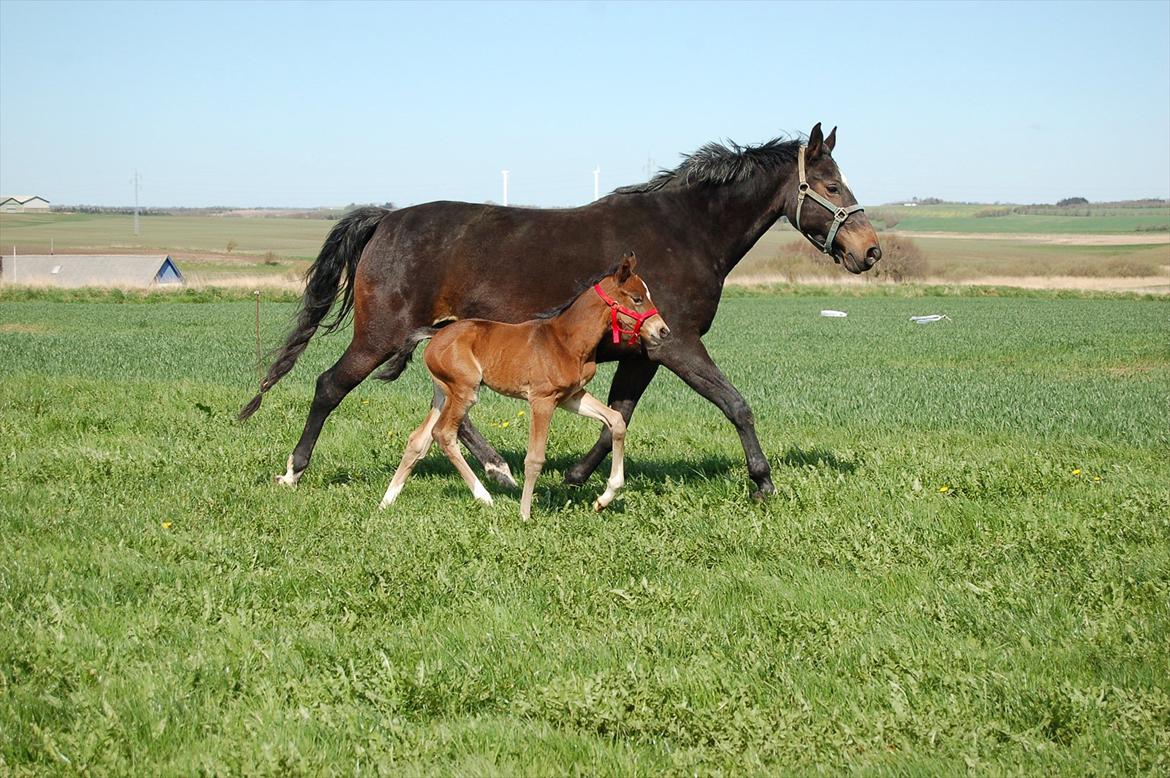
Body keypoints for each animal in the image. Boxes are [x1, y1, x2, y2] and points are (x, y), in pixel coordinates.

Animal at [381, 255, 669, 519]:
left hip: (444, 393)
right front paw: (525, 513)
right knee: (443, 434)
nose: (663, 330)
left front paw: (605, 498)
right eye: (637, 298)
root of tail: (434, 335)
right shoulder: (542, 399)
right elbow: (535, 458)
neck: (566, 341)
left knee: (418, 439)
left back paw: (387, 500)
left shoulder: (572, 396)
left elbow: (616, 420)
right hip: (465, 391)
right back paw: (484, 497)